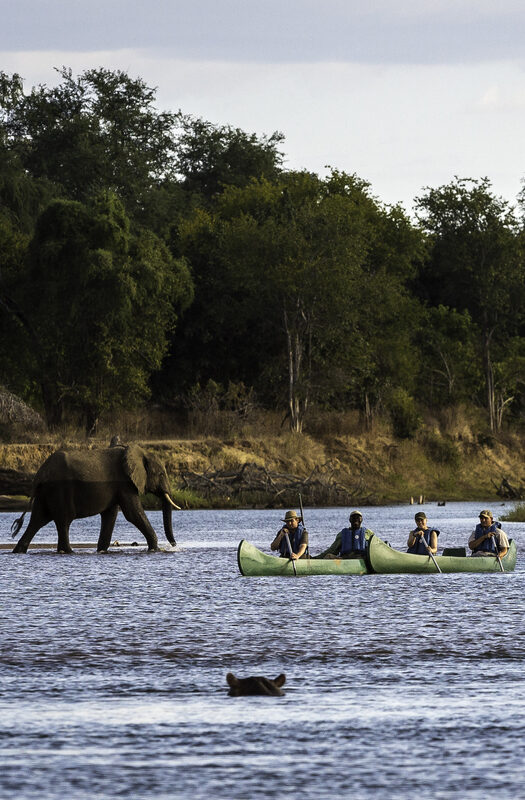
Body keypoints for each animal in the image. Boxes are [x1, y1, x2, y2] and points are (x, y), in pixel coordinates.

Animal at [11, 440, 179, 552]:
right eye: (161, 474)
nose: (174, 545)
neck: (139, 452)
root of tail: (41, 473)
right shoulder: (125, 482)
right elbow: (133, 513)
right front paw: (155, 549)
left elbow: (110, 515)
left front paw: (101, 551)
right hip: (59, 489)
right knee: (63, 520)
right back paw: (68, 551)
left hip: (45, 492)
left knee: (38, 520)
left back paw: (19, 551)